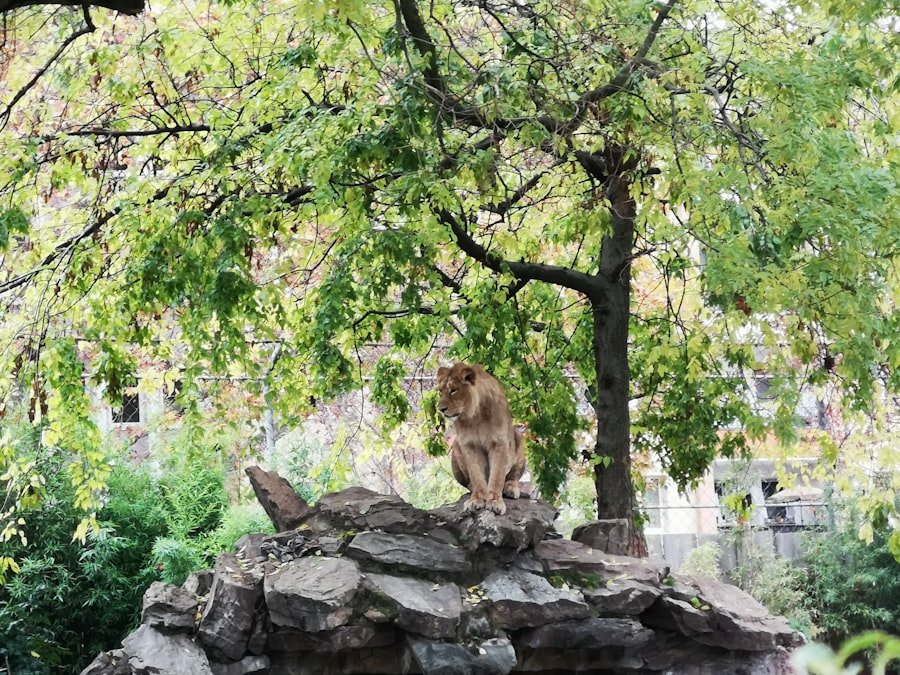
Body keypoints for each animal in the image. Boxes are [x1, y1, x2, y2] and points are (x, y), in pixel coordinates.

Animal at [436, 362, 526, 515]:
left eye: (454, 390)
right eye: (440, 391)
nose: (441, 409)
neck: (475, 416)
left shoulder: (499, 444)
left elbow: (497, 476)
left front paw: (495, 501)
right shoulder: (469, 445)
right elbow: (476, 474)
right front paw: (477, 499)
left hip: (518, 439)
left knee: (513, 476)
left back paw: (510, 489)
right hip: (456, 448)